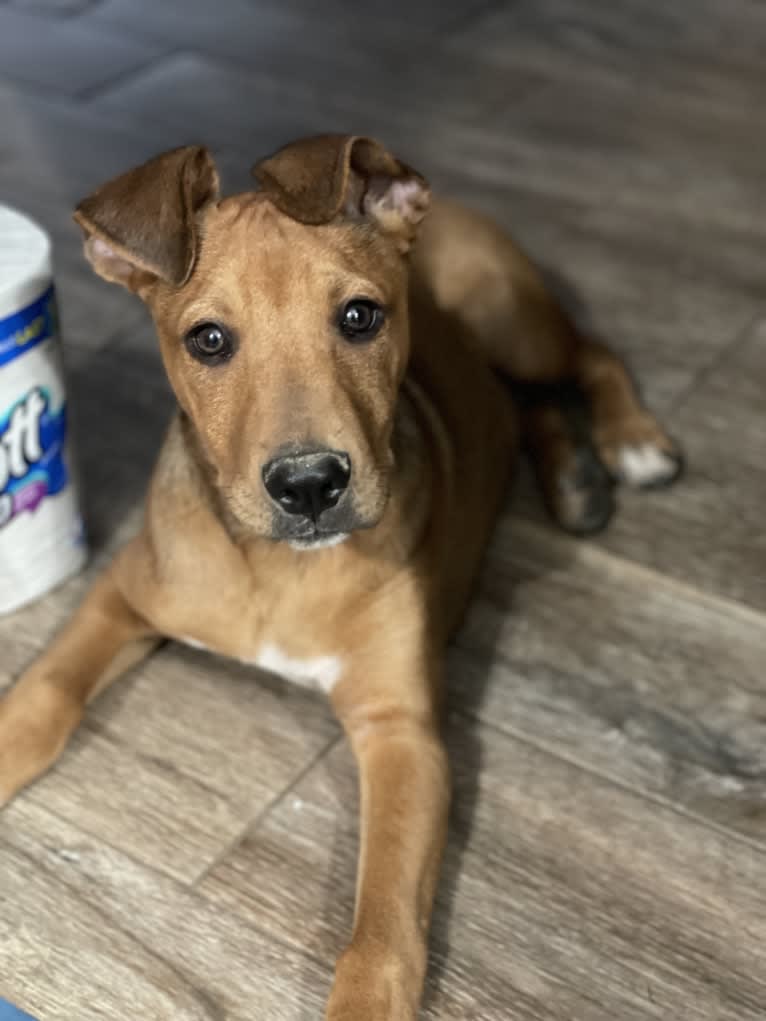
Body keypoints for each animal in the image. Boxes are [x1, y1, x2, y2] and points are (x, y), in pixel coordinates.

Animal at [0, 137, 682, 1021]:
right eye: (208, 340)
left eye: (360, 317)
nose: (309, 485)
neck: (278, 569)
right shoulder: (125, 588)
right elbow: (45, 692)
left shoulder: (402, 732)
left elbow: (382, 933)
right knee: (520, 406)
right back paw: (573, 480)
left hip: (510, 316)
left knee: (585, 355)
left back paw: (632, 442)